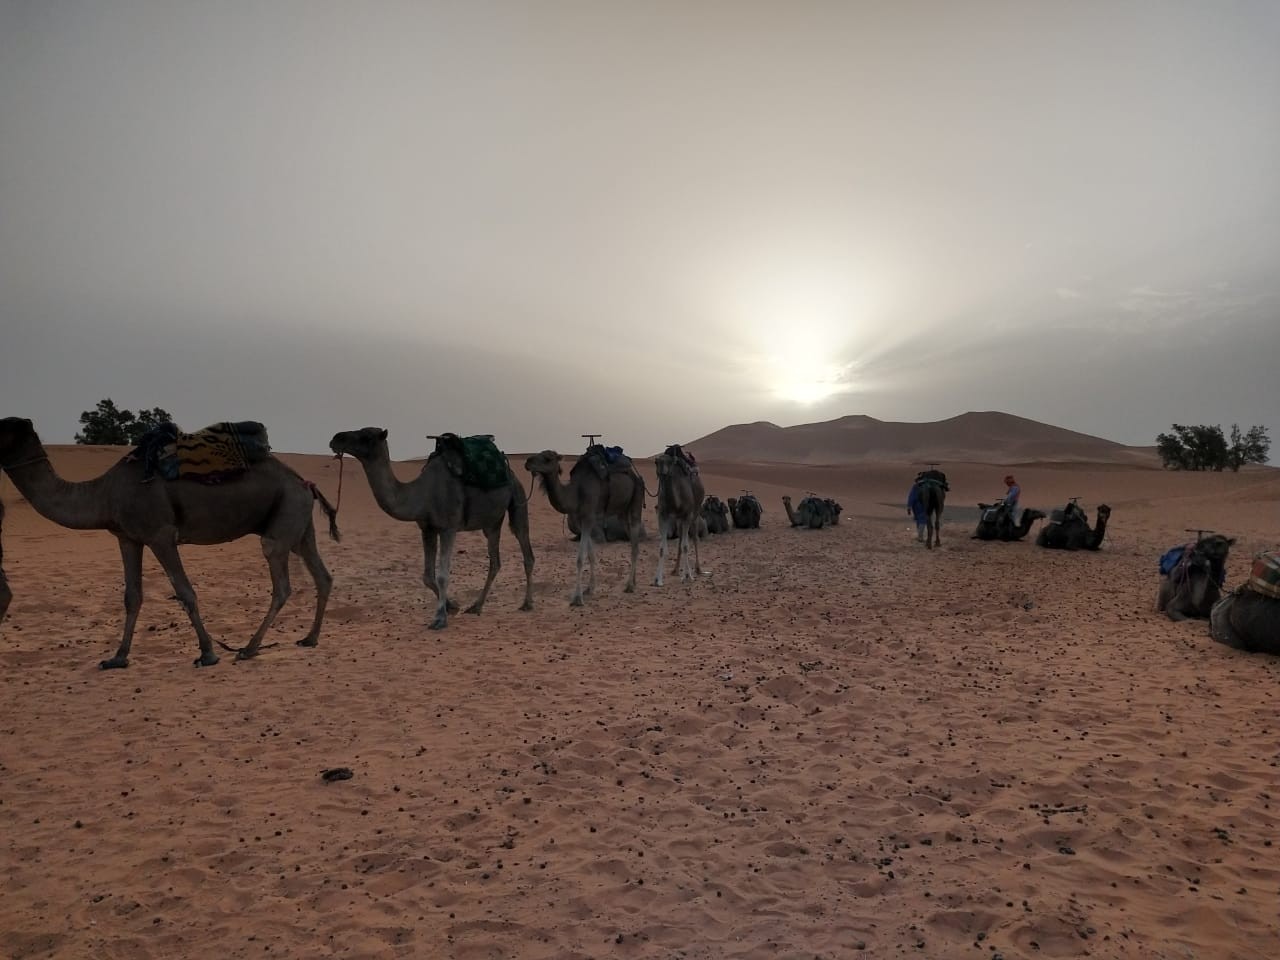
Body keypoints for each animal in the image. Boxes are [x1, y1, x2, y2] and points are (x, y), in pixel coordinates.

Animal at [0, 417, 340, 670]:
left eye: (1, 427)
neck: (105, 493)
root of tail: (305, 484)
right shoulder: (128, 538)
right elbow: (132, 596)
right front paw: (117, 657)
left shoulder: (160, 535)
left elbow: (185, 592)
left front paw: (207, 653)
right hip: (299, 524)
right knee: (322, 575)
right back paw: (309, 638)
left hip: (284, 519)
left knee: (282, 582)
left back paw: (249, 648)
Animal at [330, 427, 535, 632]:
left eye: (365, 436)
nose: (335, 439)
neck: (422, 494)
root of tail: (510, 471)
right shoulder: (427, 529)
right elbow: (428, 576)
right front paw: (452, 606)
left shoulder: (448, 528)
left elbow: (443, 575)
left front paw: (439, 619)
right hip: (491, 523)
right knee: (495, 561)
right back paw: (476, 606)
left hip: (517, 498)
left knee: (526, 550)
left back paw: (527, 604)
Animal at [522, 448, 640, 604]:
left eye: (547, 458)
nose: (528, 462)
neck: (576, 492)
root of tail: (635, 474)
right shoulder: (581, 520)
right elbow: (590, 555)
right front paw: (589, 589)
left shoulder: (588, 517)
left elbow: (579, 559)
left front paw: (577, 598)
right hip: (622, 511)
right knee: (632, 539)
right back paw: (634, 581)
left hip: (635, 499)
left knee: (635, 544)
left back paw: (630, 586)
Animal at [655, 445, 706, 586]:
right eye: (656, 462)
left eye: (669, 462)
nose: (661, 470)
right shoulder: (663, 515)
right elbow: (662, 548)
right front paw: (658, 580)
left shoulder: (687, 515)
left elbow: (686, 546)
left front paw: (687, 576)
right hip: (678, 520)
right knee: (680, 540)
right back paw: (675, 570)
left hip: (695, 513)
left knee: (693, 538)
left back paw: (698, 569)